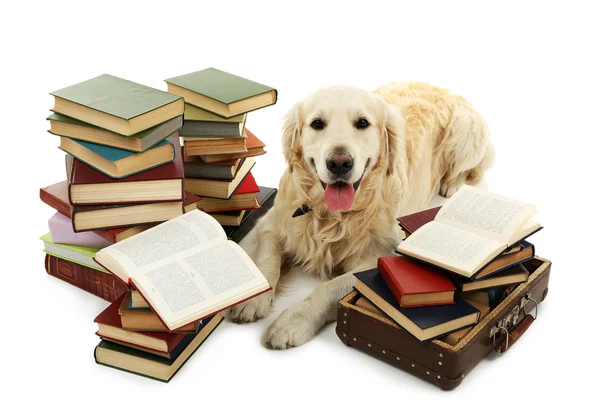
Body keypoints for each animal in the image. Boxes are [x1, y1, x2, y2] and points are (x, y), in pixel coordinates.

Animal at [229, 82, 492, 350]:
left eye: (363, 123)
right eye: (317, 124)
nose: (339, 163)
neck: (330, 215)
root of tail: (443, 88)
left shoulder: (383, 255)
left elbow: (329, 287)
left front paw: (293, 321)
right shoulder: (271, 221)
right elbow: (267, 260)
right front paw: (253, 299)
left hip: (464, 130)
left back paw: (452, 185)